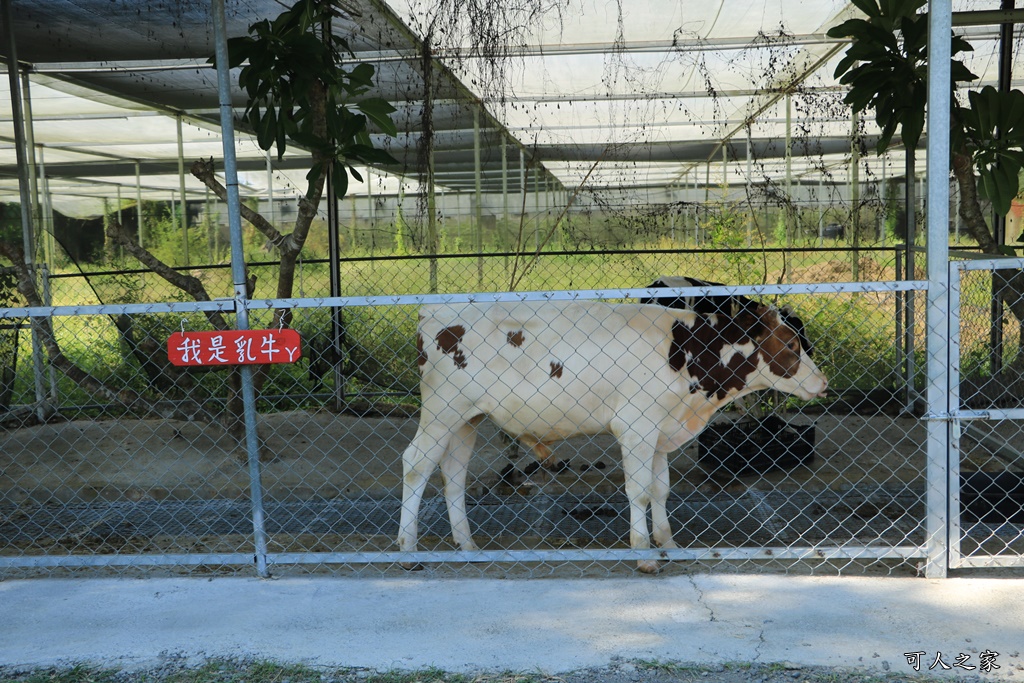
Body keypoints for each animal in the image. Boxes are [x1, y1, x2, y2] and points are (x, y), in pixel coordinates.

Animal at [395, 299, 827, 573]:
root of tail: (435, 311)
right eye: (791, 344)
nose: (822, 382)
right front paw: (644, 555)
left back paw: (468, 547)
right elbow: (639, 491)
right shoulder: (636, 427)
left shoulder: (660, 430)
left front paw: (669, 545)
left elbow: (661, 490)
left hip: (467, 418)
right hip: (442, 411)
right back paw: (408, 551)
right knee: (416, 465)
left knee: (453, 474)